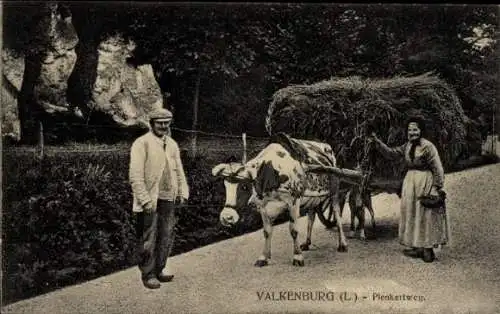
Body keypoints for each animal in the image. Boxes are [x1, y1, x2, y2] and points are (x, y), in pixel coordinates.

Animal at [211, 132, 348, 268]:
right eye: (225, 186)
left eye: (244, 186)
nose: (226, 217)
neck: (273, 173)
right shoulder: (262, 206)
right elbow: (267, 231)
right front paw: (263, 257)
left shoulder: (294, 201)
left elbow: (294, 230)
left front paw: (297, 257)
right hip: (313, 198)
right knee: (311, 216)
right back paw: (307, 243)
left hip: (334, 190)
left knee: (337, 215)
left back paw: (342, 244)